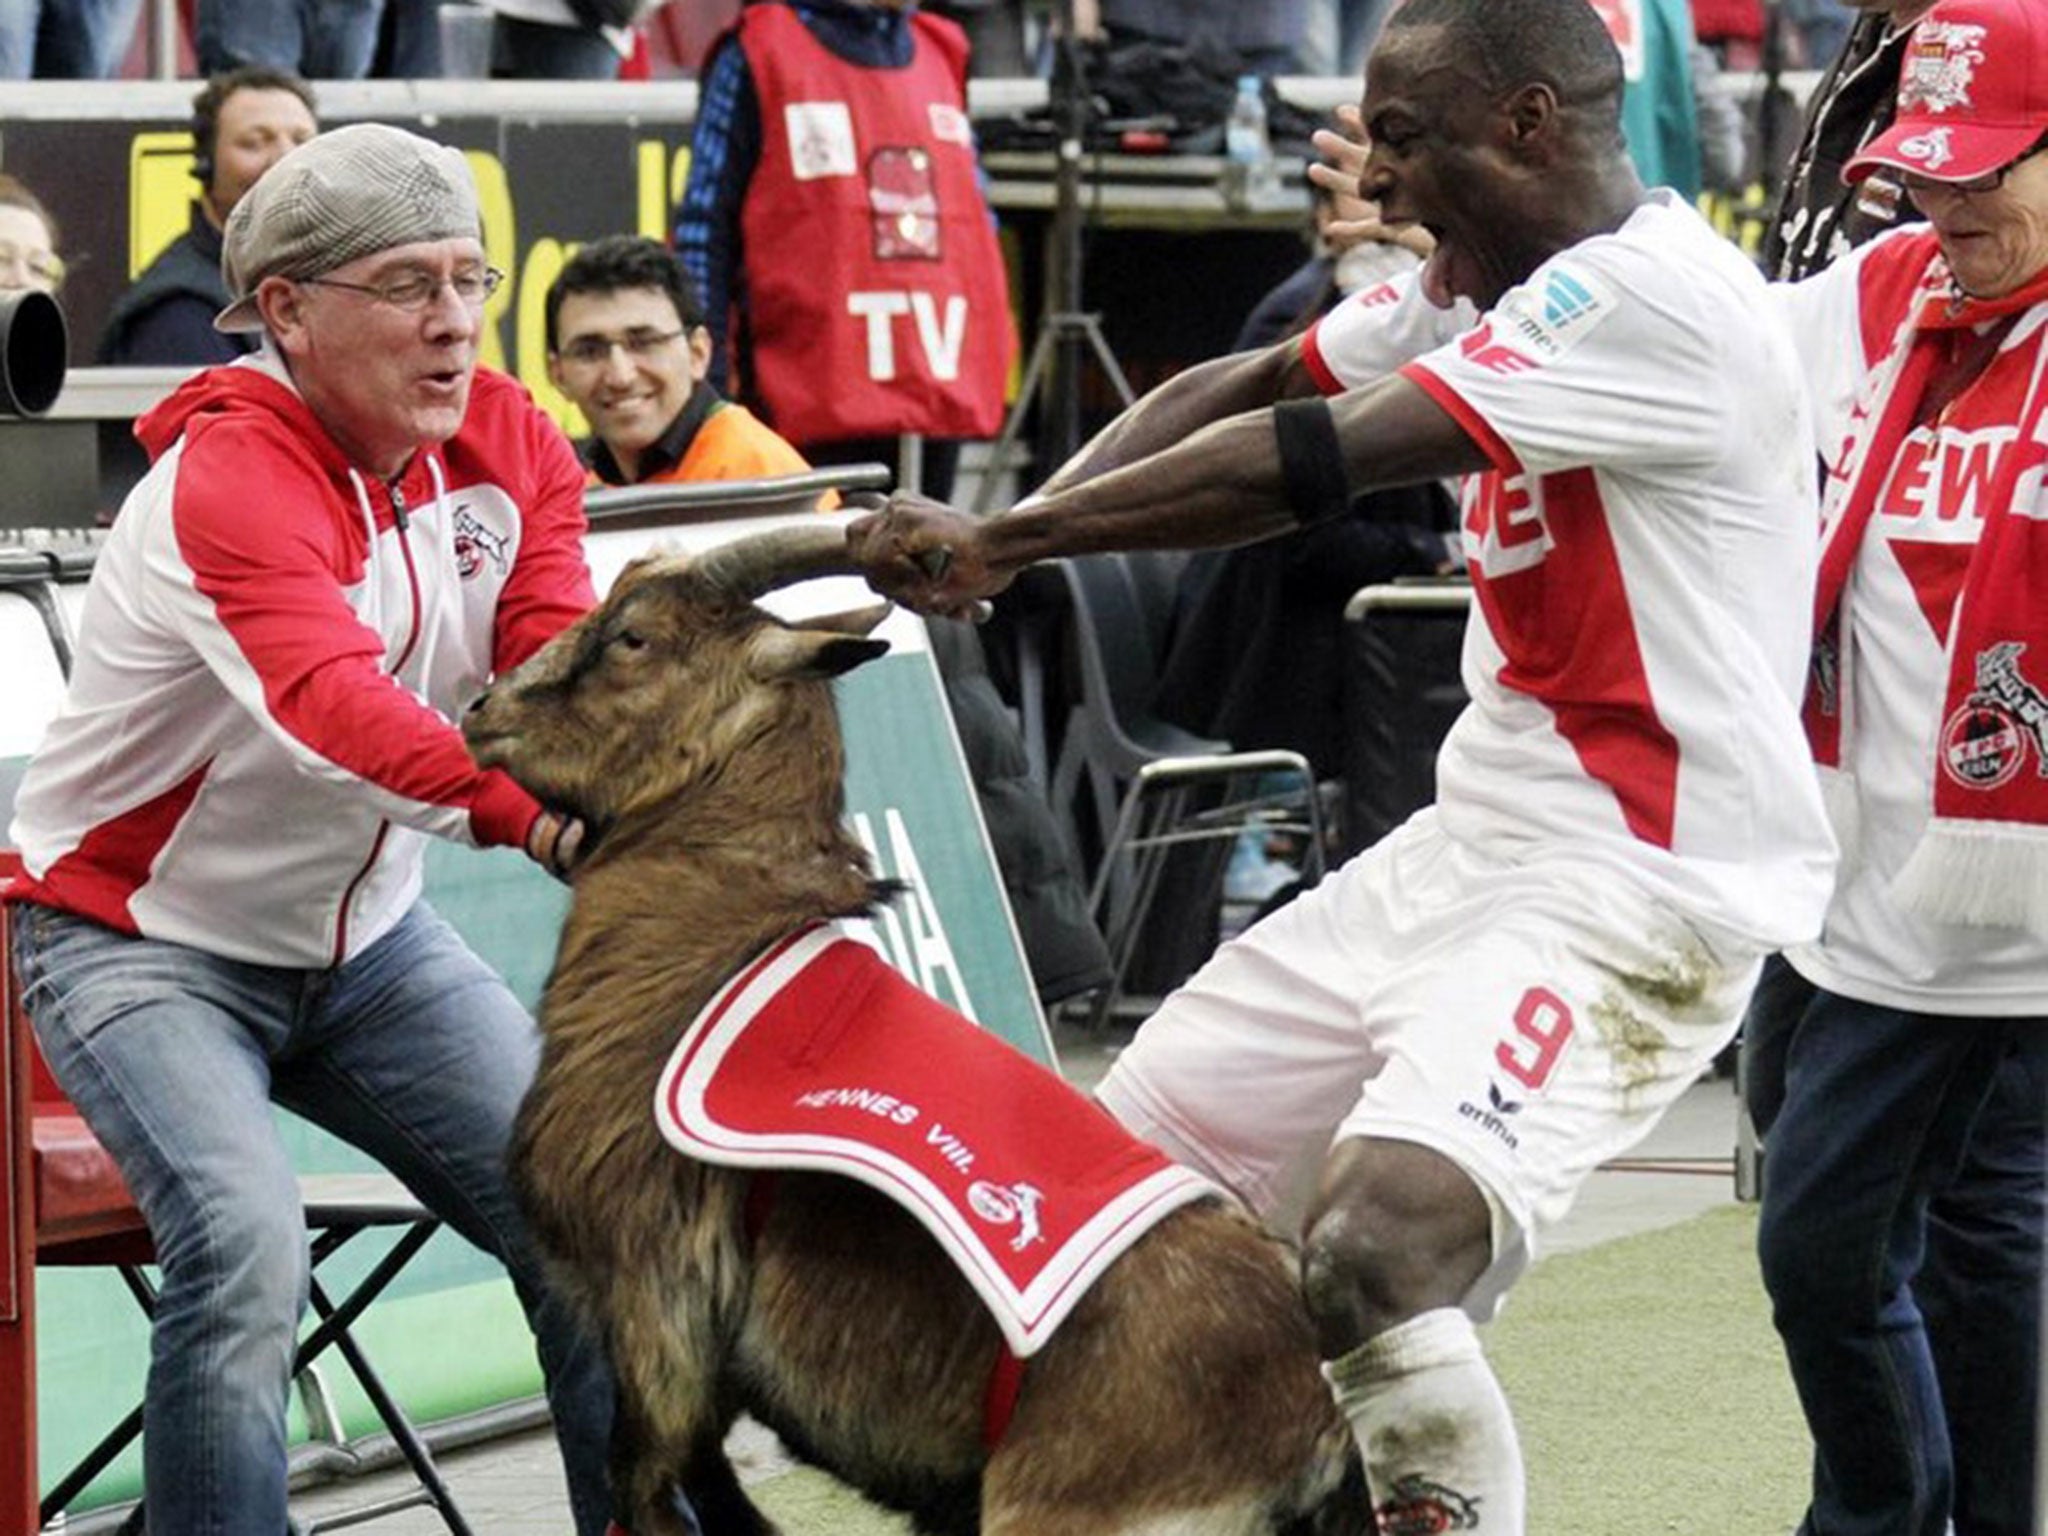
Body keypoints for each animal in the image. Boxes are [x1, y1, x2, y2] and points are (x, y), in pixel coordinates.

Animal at [462, 528, 1359, 1536]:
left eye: (633, 639)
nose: (481, 709)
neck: (712, 949)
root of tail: (1315, 1429)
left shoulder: (656, 1301)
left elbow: (646, 1490)